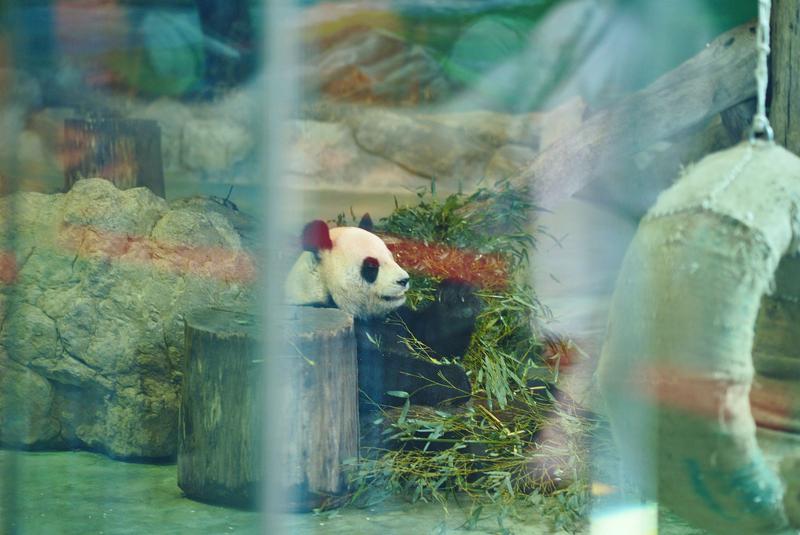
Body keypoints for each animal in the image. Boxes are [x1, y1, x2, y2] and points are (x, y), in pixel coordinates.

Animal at [286, 216, 478, 408]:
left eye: (392, 257)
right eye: (372, 266)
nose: (404, 280)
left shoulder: (395, 318)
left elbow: (430, 342)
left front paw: (457, 299)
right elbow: (373, 375)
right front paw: (452, 379)